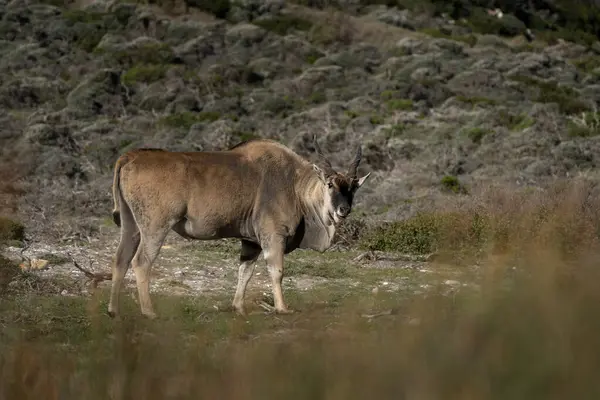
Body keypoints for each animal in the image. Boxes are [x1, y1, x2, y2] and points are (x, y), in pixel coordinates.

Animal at [108, 136, 370, 318]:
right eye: (329, 184)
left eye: (352, 187)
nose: (343, 210)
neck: (295, 186)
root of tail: (130, 157)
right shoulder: (273, 236)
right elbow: (276, 271)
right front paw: (282, 308)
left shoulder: (251, 242)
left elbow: (245, 271)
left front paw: (238, 308)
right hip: (156, 227)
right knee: (141, 262)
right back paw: (149, 312)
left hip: (131, 226)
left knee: (121, 258)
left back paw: (113, 311)